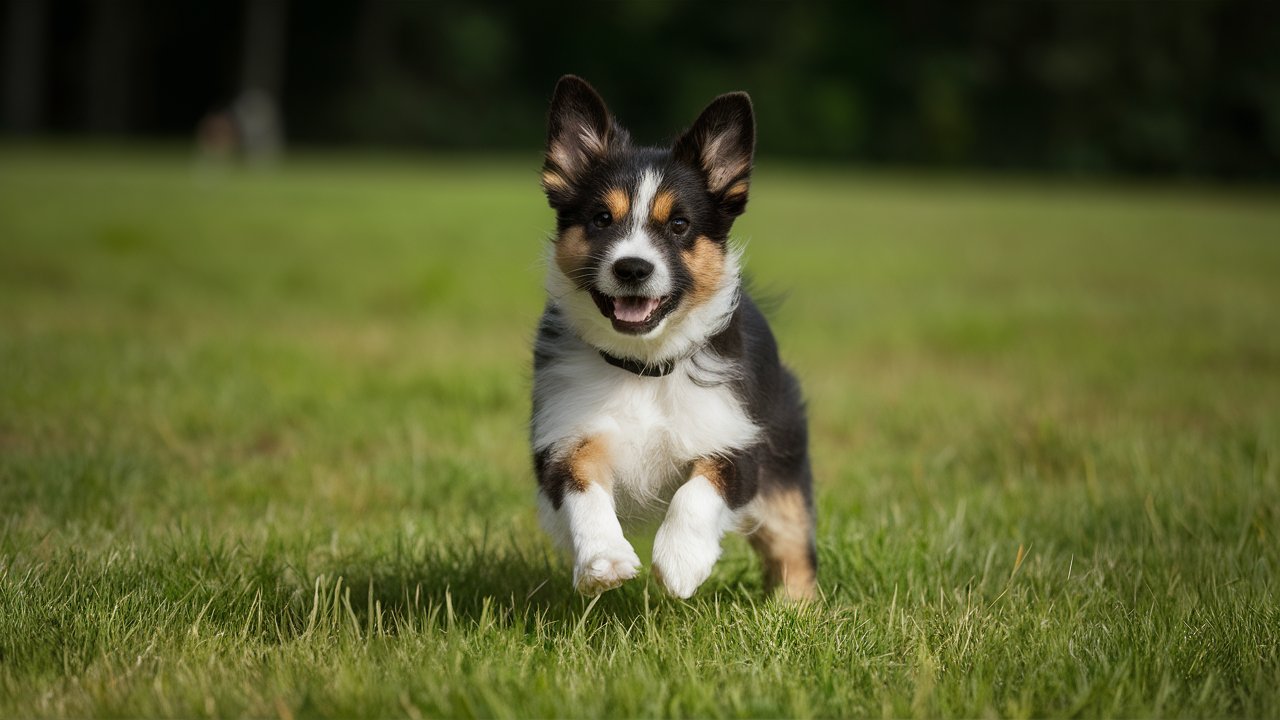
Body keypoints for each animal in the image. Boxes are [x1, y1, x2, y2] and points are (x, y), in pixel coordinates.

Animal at [532, 74, 814, 599]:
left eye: (680, 224)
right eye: (601, 219)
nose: (632, 268)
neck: (642, 365)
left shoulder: (737, 437)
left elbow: (700, 487)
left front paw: (682, 561)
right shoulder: (563, 435)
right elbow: (582, 488)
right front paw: (604, 559)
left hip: (784, 466)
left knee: (794, 550)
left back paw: (795, 609)